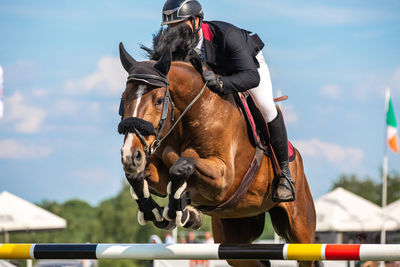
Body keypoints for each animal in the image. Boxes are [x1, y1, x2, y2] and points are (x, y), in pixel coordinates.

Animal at [117, 44, 318, 267]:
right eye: (123, 99)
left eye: (159, 101)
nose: (130, 156)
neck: (192, 113)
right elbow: (142, 175)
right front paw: (159, 211)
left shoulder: (222, 179)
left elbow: (182, 164)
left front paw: (178, 210)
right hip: (235, 234)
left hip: (301, 230)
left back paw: (284, 185)